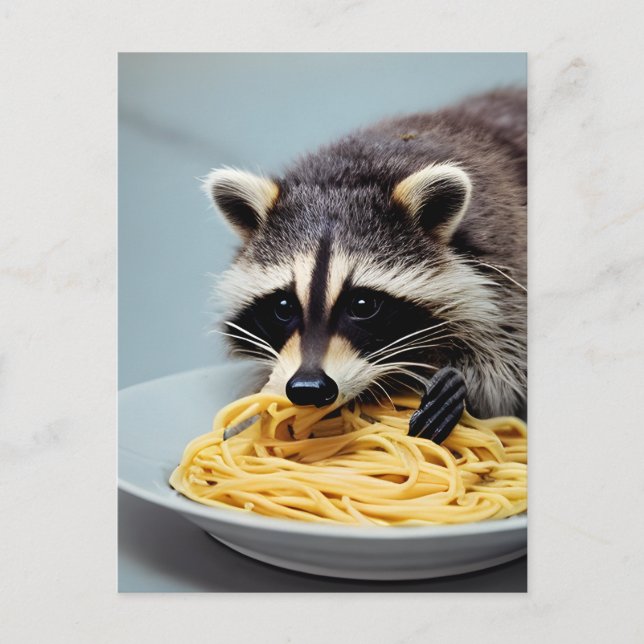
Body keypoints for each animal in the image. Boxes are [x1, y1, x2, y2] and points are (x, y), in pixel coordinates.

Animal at [204, 89, 527, 423]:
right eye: (283, 306)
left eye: (362, 305)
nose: (309, 387)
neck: (349, 173)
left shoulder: (507, 260)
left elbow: (506, 365)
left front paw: (462, 383)